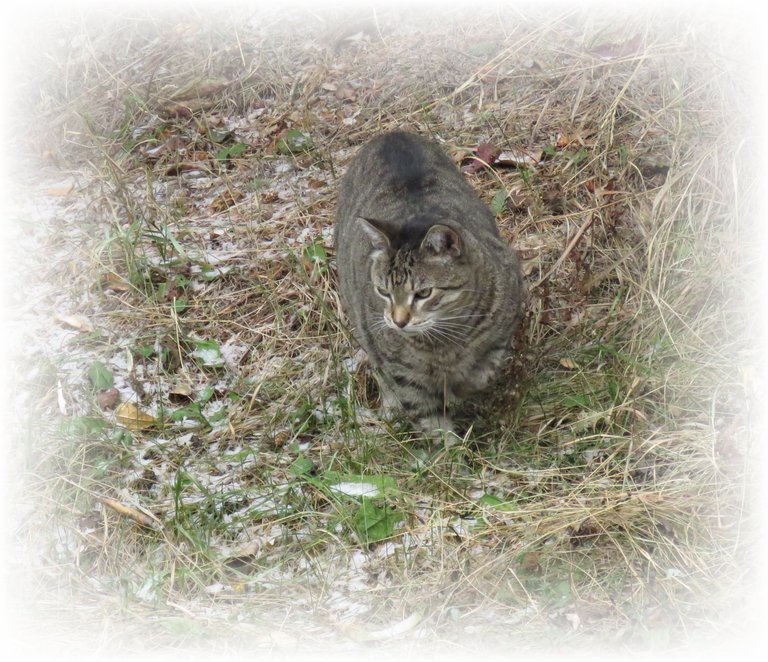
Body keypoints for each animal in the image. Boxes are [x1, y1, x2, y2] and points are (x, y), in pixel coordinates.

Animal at [332, 131, 524, 440]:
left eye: (423, 293)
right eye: (383, 292)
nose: (398, 321)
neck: (443, 343)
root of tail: (390, 134)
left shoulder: (506, 319)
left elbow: (483, 371)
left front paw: (462, 387)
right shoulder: (403, 373)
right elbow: (428, 416)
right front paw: (449, 448)